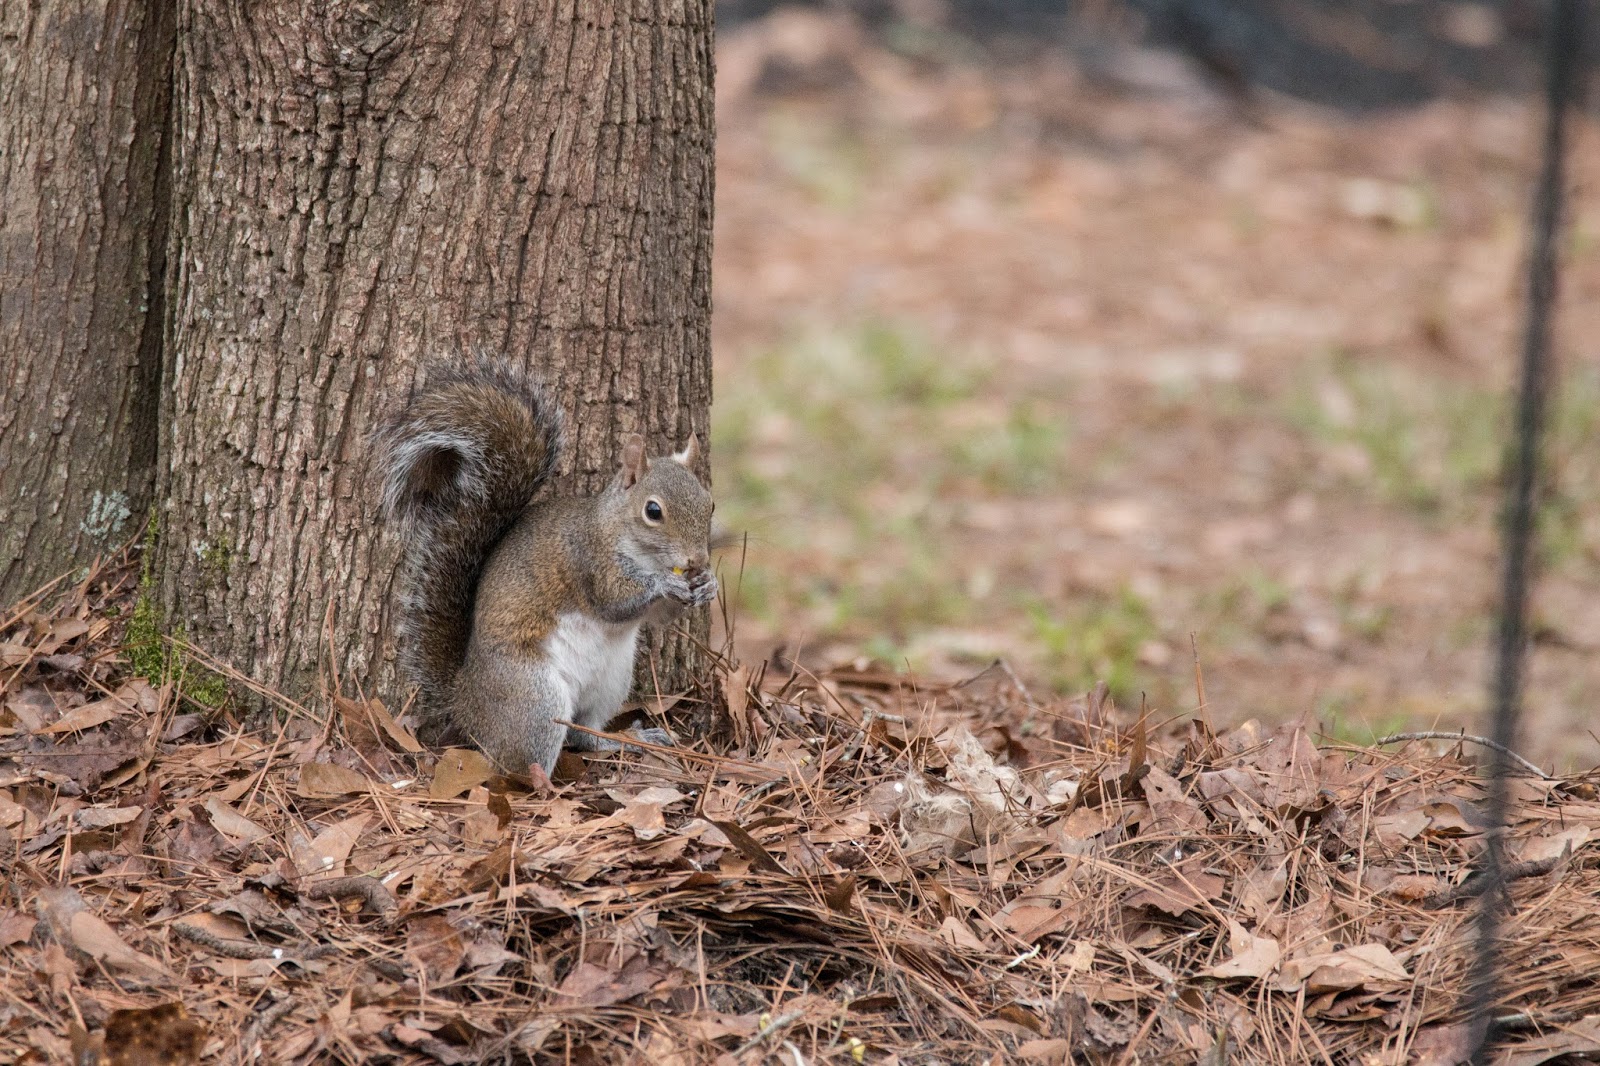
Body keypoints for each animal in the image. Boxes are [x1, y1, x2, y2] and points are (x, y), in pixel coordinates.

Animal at [375, 358, 718, 774]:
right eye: (653, 511)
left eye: (710, 503)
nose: (697, 560)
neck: (640, 551)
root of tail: (465, 699)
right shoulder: (587, 559)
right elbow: (613, 601)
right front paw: (663, 585)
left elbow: (661, 618)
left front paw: (708, 585)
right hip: (534, 696)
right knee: (523, 760)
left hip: (611, 681)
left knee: (586, 733)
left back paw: (628, 739)